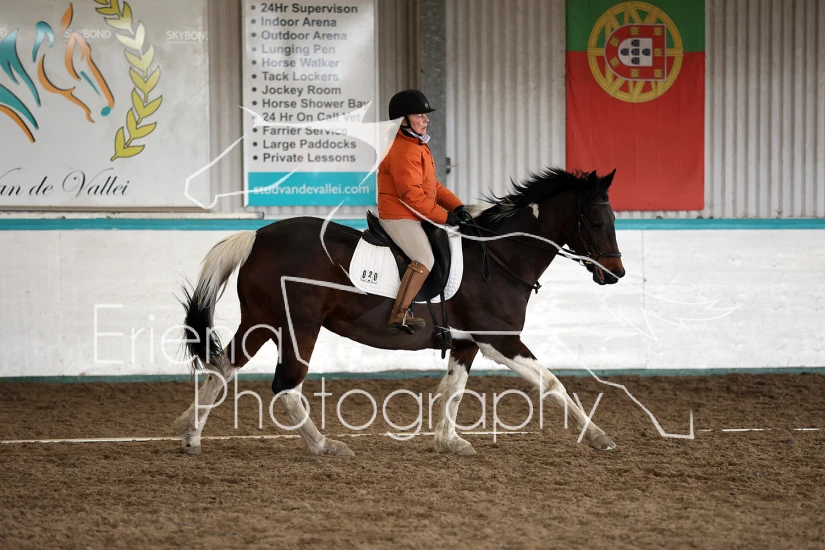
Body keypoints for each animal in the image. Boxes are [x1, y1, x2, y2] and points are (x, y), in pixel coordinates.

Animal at [174, 167, 625, 456]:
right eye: (596, 221)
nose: (616, 274)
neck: (498, 257)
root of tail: (258, 235)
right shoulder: (501, 340)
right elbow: (551, 383)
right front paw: (599, 437)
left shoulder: (466, 343)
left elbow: (454, 389)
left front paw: (449, 442)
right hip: (298, 327)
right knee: (286, 385)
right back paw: (324, 446)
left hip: (261, 322)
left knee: (222, 369)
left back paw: (191, 437)